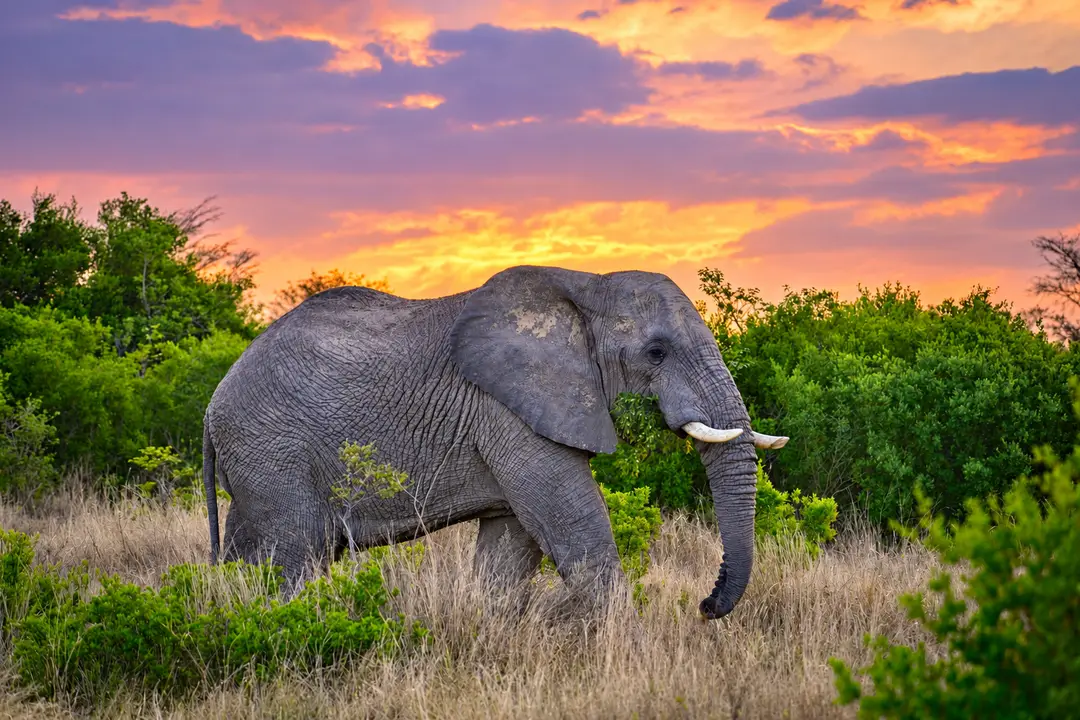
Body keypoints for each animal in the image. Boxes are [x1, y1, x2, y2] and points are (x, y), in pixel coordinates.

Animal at [202, 265, 788, 620]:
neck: (587, 287)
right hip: (272, 452)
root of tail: (211, 407)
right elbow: (573, 523)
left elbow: (512, 546)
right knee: (290, 557)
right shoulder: (507, 411)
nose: (705, 605)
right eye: (657, 353)